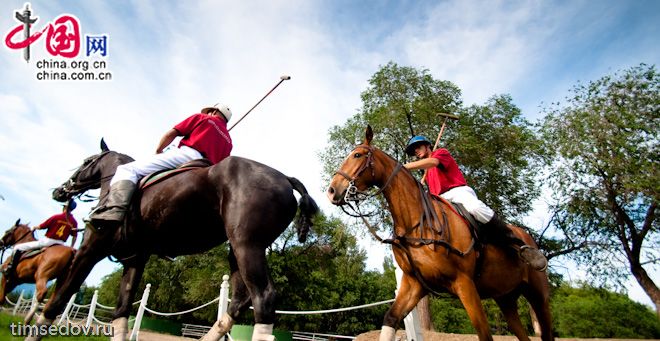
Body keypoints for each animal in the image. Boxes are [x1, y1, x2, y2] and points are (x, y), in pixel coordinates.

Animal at [30, 139, 318, 340]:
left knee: (263, 298)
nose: (60, 190)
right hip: (238, 250)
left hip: (248, 246)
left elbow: (59, 299)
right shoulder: (134, 260)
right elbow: (121, 312)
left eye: (87, 160)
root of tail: (285, 178)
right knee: (239, 301)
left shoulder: (90, 249)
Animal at [328, 125, 556, 340]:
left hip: (539, 295)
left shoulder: (464, 283)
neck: (416, 222)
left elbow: (484, 333)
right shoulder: (414, 284)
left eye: (357, 155)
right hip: (505, 297)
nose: (332, 191)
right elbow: (390, 319)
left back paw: (531, 254)